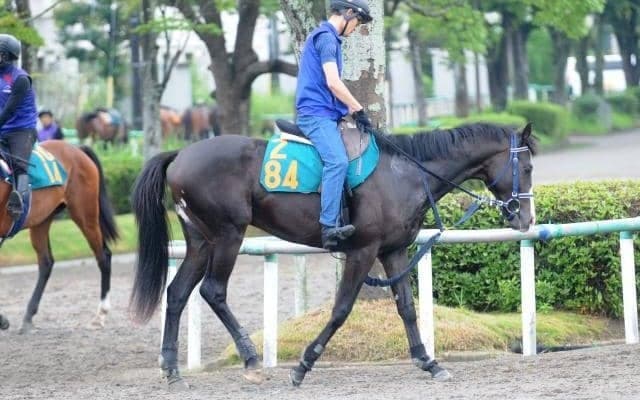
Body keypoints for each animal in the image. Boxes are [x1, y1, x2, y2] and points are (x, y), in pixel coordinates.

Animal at [0, 141, 119, 333]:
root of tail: (76, 149)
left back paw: (100, 315)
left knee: (103, 257)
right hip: (41, 221)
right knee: (46, 263)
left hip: (85, 216)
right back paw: (28, 316)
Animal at [129, 122, 536, 389]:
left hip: (202, 241)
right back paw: (251, 359)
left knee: (177, 293)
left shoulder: (394, 251)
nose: (526, 218)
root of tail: (181, 154)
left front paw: (428, 361)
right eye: (529, 167)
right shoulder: (363, 251)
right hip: (228, 235)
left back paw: (171, 369)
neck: (403, 174)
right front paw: (304, 363)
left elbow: (406, 307)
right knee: (213, 291)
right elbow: (341, 309)